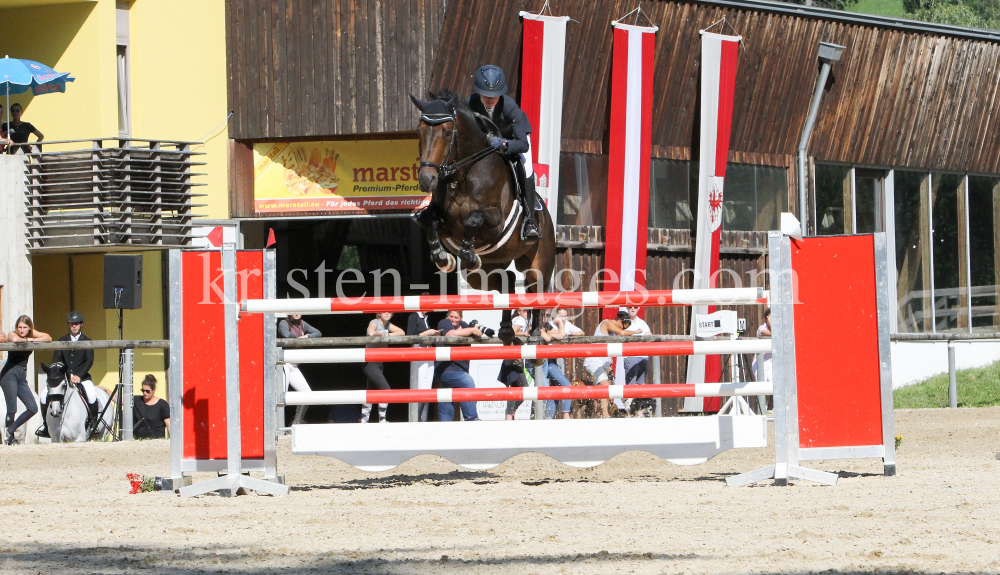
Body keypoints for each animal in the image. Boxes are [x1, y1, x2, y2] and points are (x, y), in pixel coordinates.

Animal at [410, 91, 560, 342]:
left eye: (447, 132)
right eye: (419, 131)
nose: (426, 180)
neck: (461, 174)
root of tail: (547, 217)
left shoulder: (495, 223)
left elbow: (473, 219)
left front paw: (467, 253)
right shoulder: (446, 223)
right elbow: (427, 220)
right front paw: (443, 258)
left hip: (538, 260)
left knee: (536, 289)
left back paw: (535, 334)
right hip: (482, 272)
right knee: (507, 280)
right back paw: (507, 329)